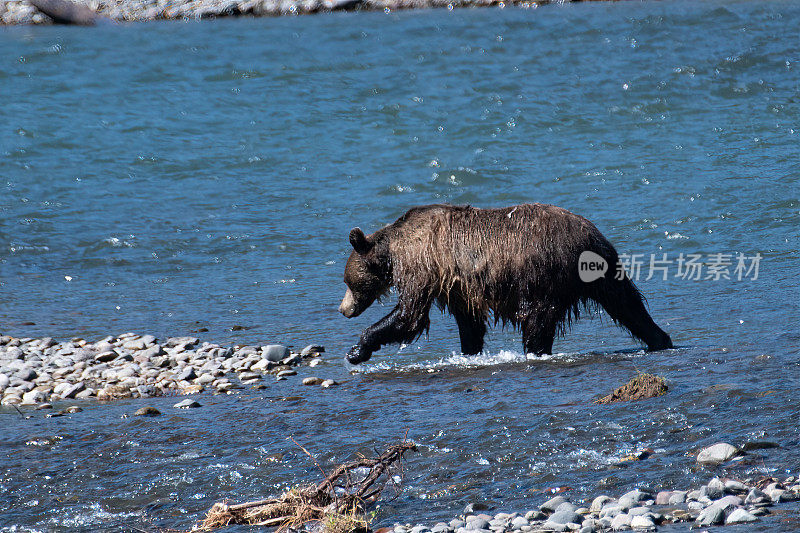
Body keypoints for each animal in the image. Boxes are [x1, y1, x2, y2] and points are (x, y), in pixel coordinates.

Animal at [340, 203, 672, 362]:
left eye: (348, 281)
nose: (343, 309)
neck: (393, 251)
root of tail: (592, 236)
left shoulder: (422, 266)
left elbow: (410, 315)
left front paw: (357, 350)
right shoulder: (458, 286)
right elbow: (469, 323)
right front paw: (470, 350)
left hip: (542, 275)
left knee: (537, 320)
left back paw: (534, 351)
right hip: (601, 270)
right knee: (627, 304)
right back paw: (660, 339)